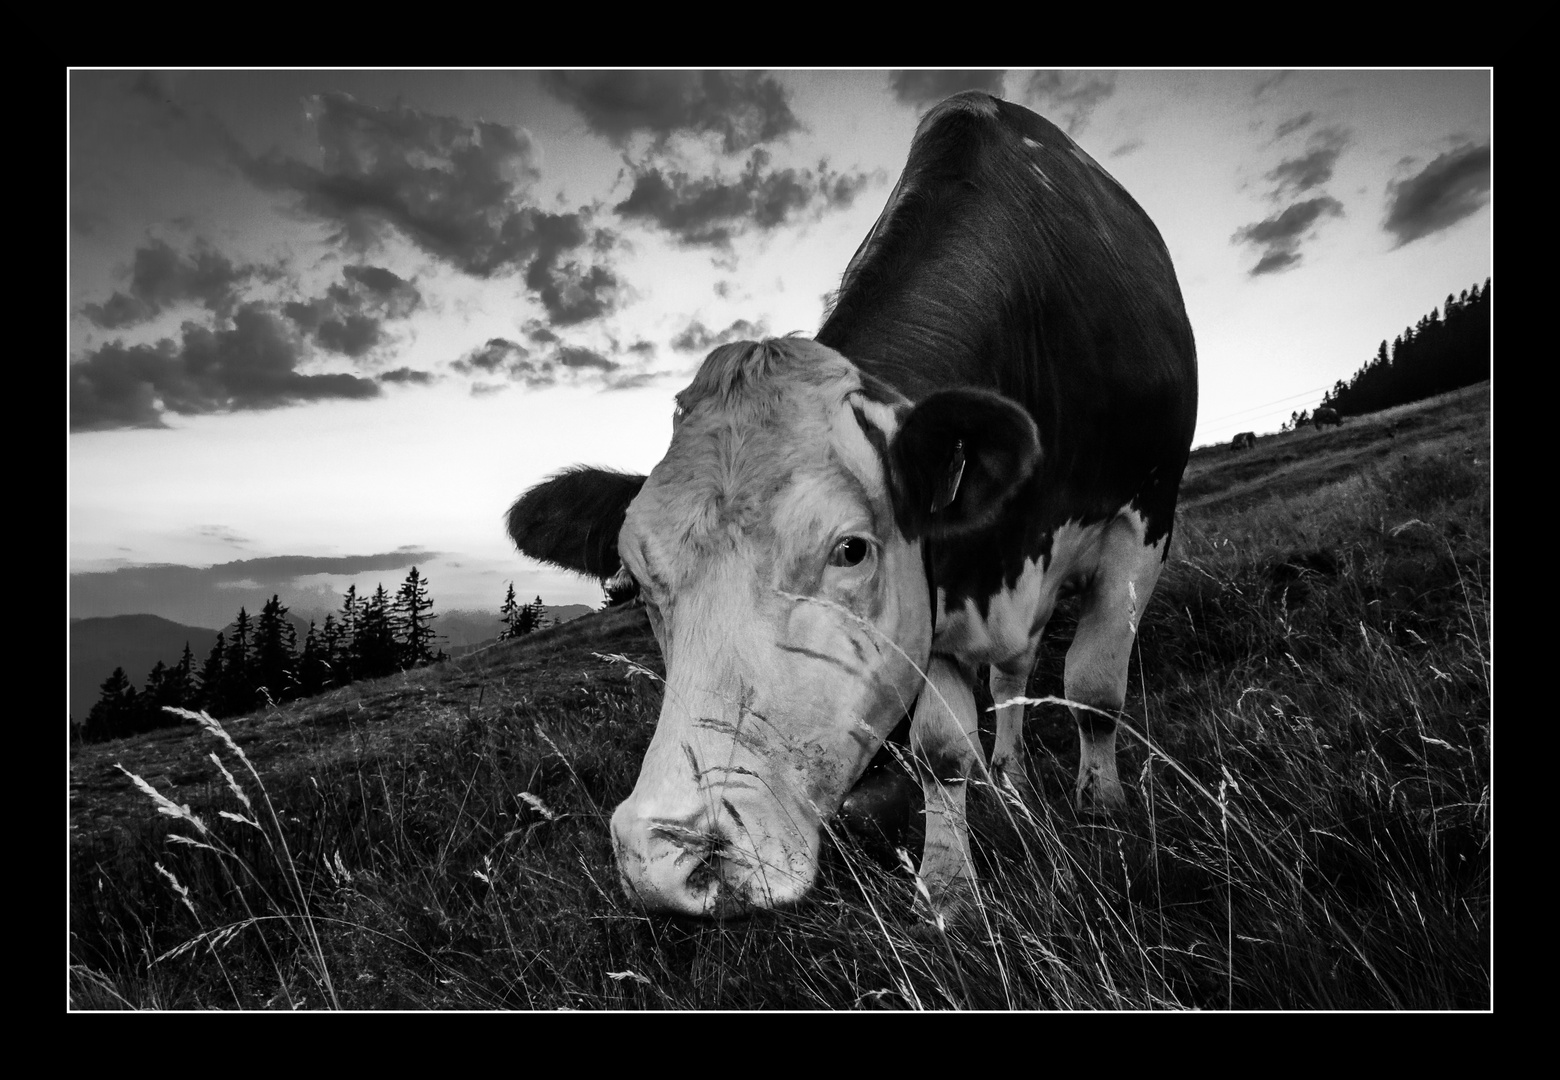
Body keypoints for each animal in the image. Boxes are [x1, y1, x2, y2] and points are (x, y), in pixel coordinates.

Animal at [505, 90, 1198, 917]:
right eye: (638, 582)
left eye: (850, 549)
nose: (668, 855)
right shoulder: (934, 592)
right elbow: (941, 751)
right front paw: (949, 888)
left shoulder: (1144, 515)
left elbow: (1094, 689)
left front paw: (1104, 806)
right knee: (1009, 680)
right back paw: (1011, 776)